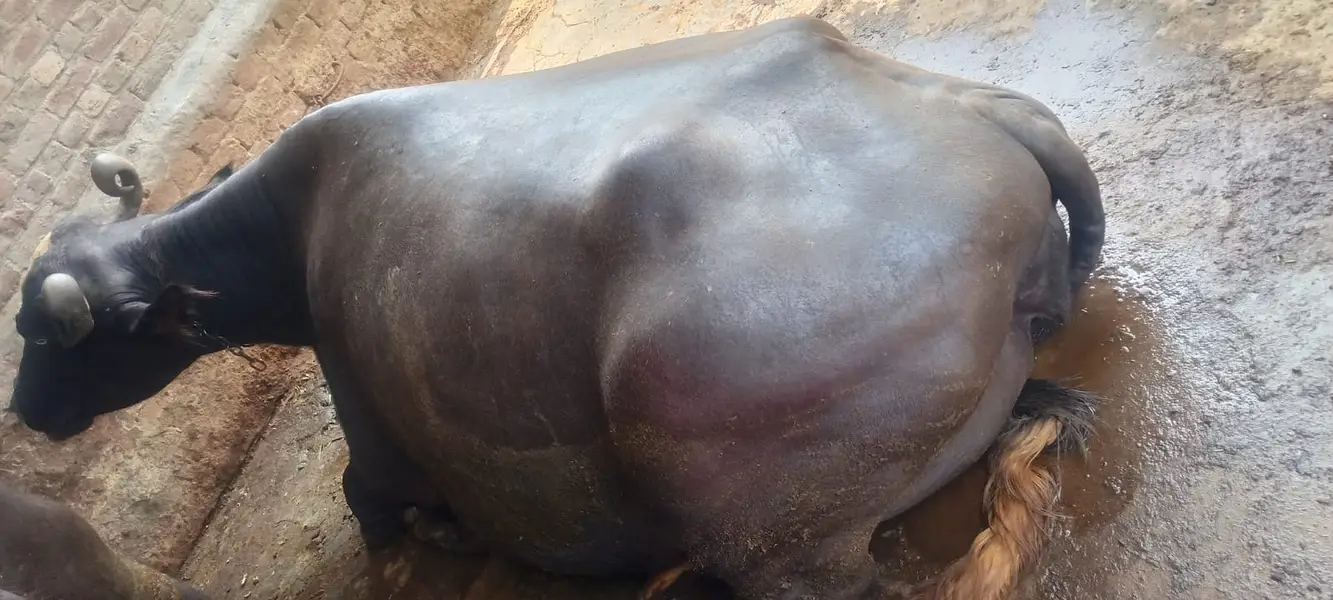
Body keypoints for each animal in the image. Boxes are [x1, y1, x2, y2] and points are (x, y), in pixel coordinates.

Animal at [10, 17, 1101, 600]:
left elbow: (371, 506)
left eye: (58, 340)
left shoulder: (372, 437)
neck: (293, 229)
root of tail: (965, 112)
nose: (25, 411)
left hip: (769, 535)